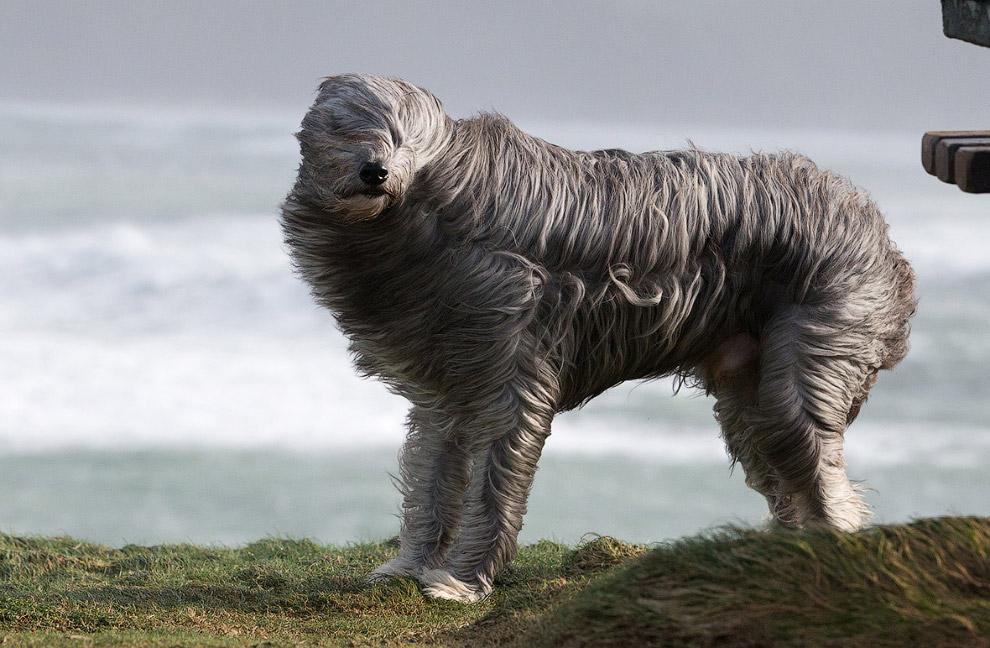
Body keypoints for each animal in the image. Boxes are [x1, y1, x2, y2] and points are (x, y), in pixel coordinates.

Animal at [280, 74, 916, 604]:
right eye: (350, 127)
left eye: (408, 140)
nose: (376, 172)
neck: (436, 204)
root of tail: (872, 223)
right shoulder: (446, 390)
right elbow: (434, 474)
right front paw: (410, 567)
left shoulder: (513, 368)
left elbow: (492, 480)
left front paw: (461, 582)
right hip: (749, 385)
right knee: (778, 457)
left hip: (812, 351)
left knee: (816, 463)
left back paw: (827, 545)